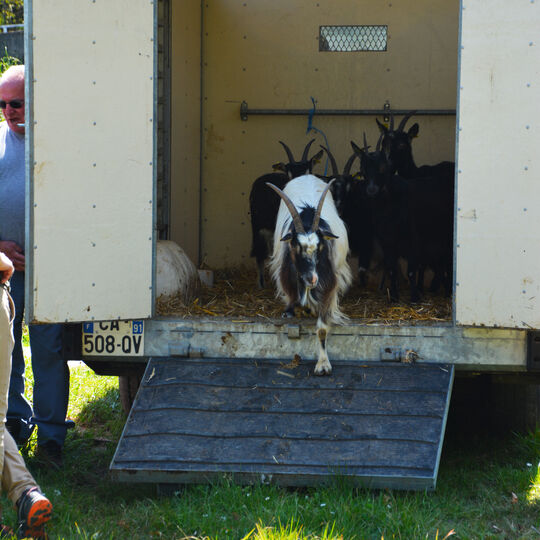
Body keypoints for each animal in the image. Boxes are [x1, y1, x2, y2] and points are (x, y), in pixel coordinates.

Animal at [268, 175, 352, 374]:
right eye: (295, 247)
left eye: (320, 247)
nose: (312, 279)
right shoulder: (287, 271)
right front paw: (290, 311)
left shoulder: (329, 282)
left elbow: (322, 328)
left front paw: (323, 364)